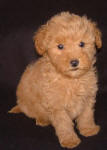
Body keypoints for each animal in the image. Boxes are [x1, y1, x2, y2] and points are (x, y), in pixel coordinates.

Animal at [9, 12, 102, 149]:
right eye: (60, 46)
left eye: (82, 44)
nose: (74, 62)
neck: (72, 79)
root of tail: (20, 104)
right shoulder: (56, 106)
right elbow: (64, 124)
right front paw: (69, 140)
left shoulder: (88, 98)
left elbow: (86, 116)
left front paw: (88, 129)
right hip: (30, 105)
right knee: (34, 113)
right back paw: (42, 120)